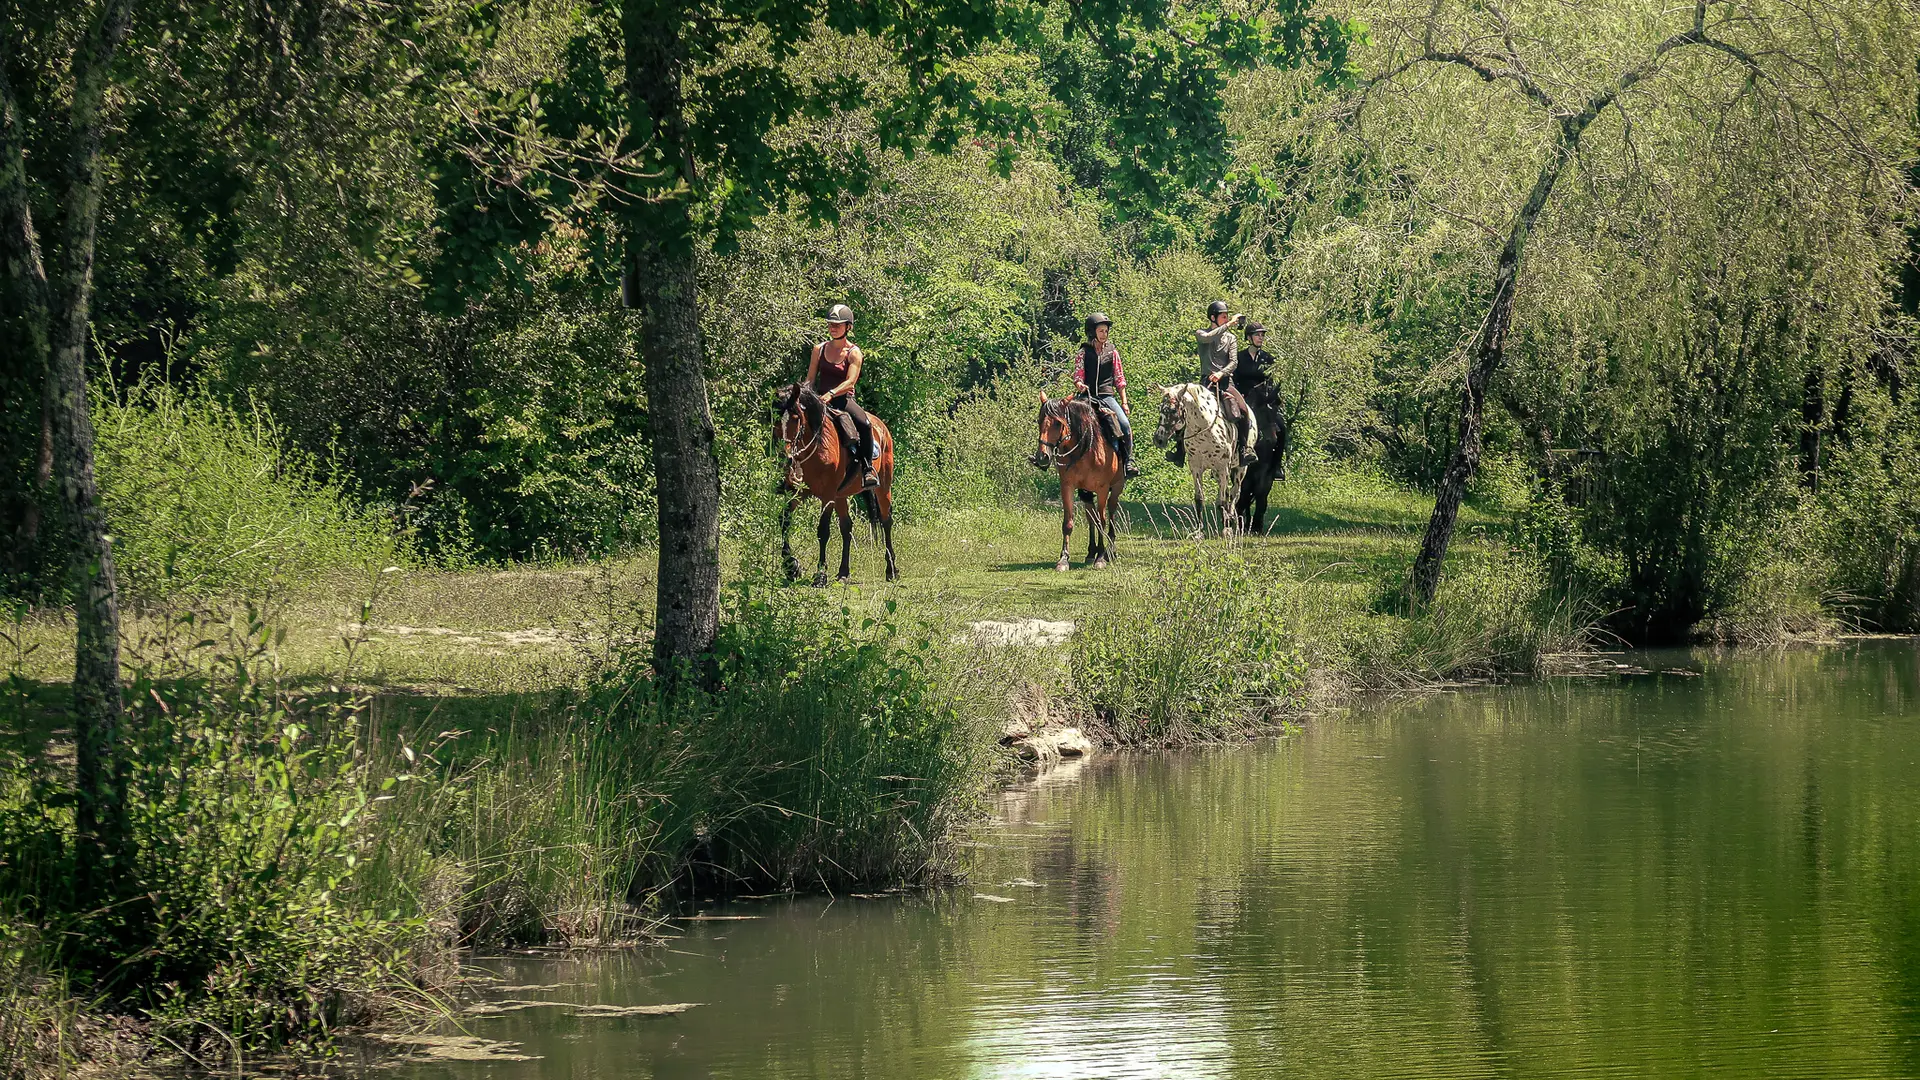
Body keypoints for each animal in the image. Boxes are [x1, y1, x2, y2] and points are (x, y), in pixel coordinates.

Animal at [771, 382, 898, 584]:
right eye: (775, 417)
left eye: (796, 418)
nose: (786, 458)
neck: (817, 448)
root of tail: (882, 427)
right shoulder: (798, 493)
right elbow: (784, 521)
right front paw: (791, 568)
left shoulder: (827, 495)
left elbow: (823, 531)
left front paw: (820, 575)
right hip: (841, 495)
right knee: (847, 527)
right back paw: (843, 572)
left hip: (883, 487)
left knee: (886, 522)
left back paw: (891, 570)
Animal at [1036, 390, 1121, 568]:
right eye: (1039, 421)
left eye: (1057, 423)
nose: (1042, 457)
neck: (1086, 448)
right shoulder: (1067, 486)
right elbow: (1068, 523)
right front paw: (1063, 559)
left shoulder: (1103, 488)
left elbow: (1102, 521)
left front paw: (1100, 558)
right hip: (1085, 492)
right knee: (1091, 518)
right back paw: (1091, 552)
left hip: (1117, 487)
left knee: (1111, 513)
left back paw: (1110, 551)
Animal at [1152, 384, 1244, 534]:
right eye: (1160, 408)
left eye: (1173, 410)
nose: (1158, 440)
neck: (1205, 429)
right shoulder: (1196, 467)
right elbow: (1199, 498)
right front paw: (1199, 530)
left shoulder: (1223, 467)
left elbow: (1222, 500)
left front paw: (1226, 528)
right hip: (1217, 473)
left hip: (1239, 470)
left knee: (1235, 493)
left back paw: (1230, 517)